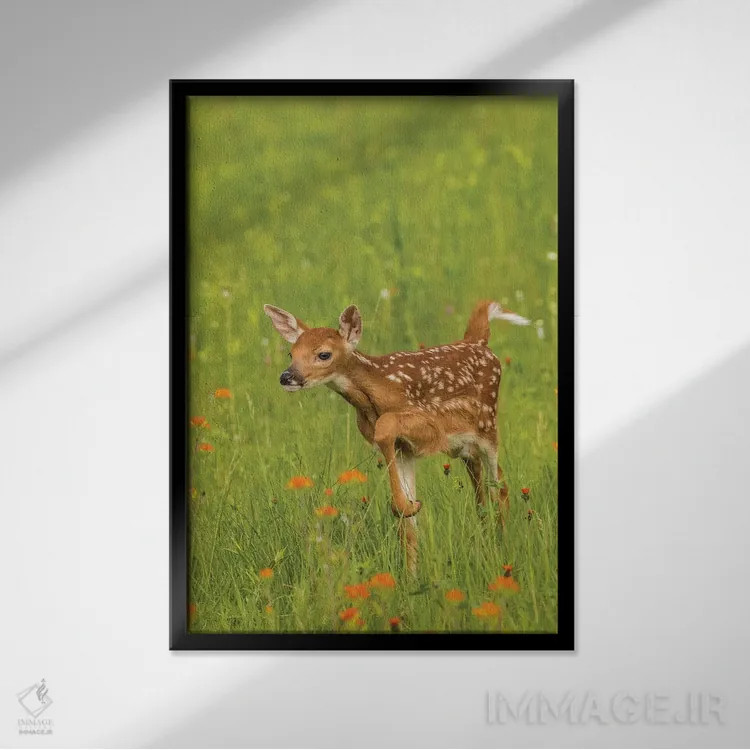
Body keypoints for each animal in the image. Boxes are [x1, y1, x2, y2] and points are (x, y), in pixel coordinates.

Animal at [263, 300, 530, 574]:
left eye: (324, 354)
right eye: (291, 353)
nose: (287, 377)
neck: (377, 395)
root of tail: (478, 342)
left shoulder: (430, 423)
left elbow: (387, 424)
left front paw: (407, 507)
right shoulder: (404, 449)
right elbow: (408, 526)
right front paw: (410, 575)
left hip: (488, 426)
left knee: (500, 487)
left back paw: (502, 550)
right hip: (467, 447)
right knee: (481, 492)